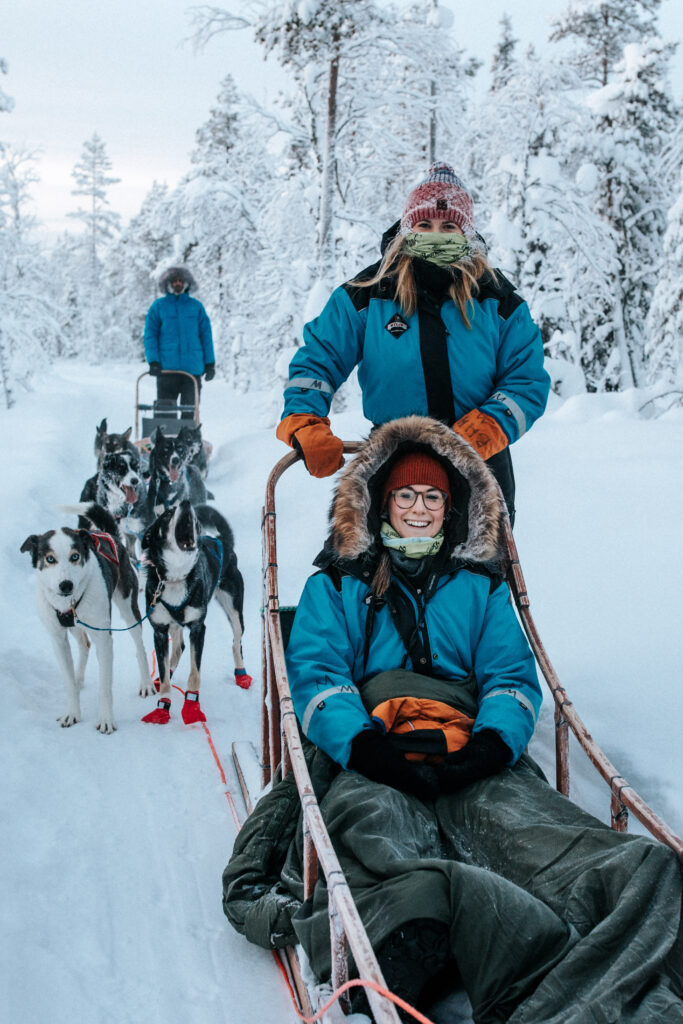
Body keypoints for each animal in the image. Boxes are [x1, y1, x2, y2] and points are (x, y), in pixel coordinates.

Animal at [21, 504, 155, 734]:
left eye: (75, 556)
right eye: (50, 559)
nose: (66, 585)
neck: (69, 604)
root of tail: (108, 534)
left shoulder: (104, 638)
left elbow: (105, 687)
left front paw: (106, 720)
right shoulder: (58, 639)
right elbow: (68, 681)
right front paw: (72, 713)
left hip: (129, 609)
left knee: (139, 646)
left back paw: (146, 683)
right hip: (76, 626)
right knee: (84, 644)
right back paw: (78, 678)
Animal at [140, 500, 252, 725]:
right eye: (167, 514)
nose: (185, 502)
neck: (176, 577)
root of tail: (222, 541)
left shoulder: (198, 628)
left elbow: (195, 673)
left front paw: (191, 708)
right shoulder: (160, 631)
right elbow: (164, 678)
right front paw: (162, 708)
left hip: (235, 610)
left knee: (236, 642)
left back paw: (241, 674)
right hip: (174, 624)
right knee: (179, 646)